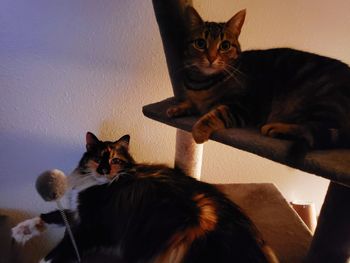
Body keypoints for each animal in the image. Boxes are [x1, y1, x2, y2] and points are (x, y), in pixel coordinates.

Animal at [12, 133, 278, 262]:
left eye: (115, 160)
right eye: (98, 158)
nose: (104, 170)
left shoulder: (93, 228)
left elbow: (58, 250)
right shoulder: (78, 213)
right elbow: (50, 215)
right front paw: (21, 230)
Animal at [166, 6, 350, 152]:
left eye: (225, 46)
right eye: (200, 43)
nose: (211, 58)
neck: (201, 83)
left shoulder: (244, 105)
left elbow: (217, 113)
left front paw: (198, 131)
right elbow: (190, 103)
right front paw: (177, 108)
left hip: (323, 101)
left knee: (320, 131)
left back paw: (276, 128)